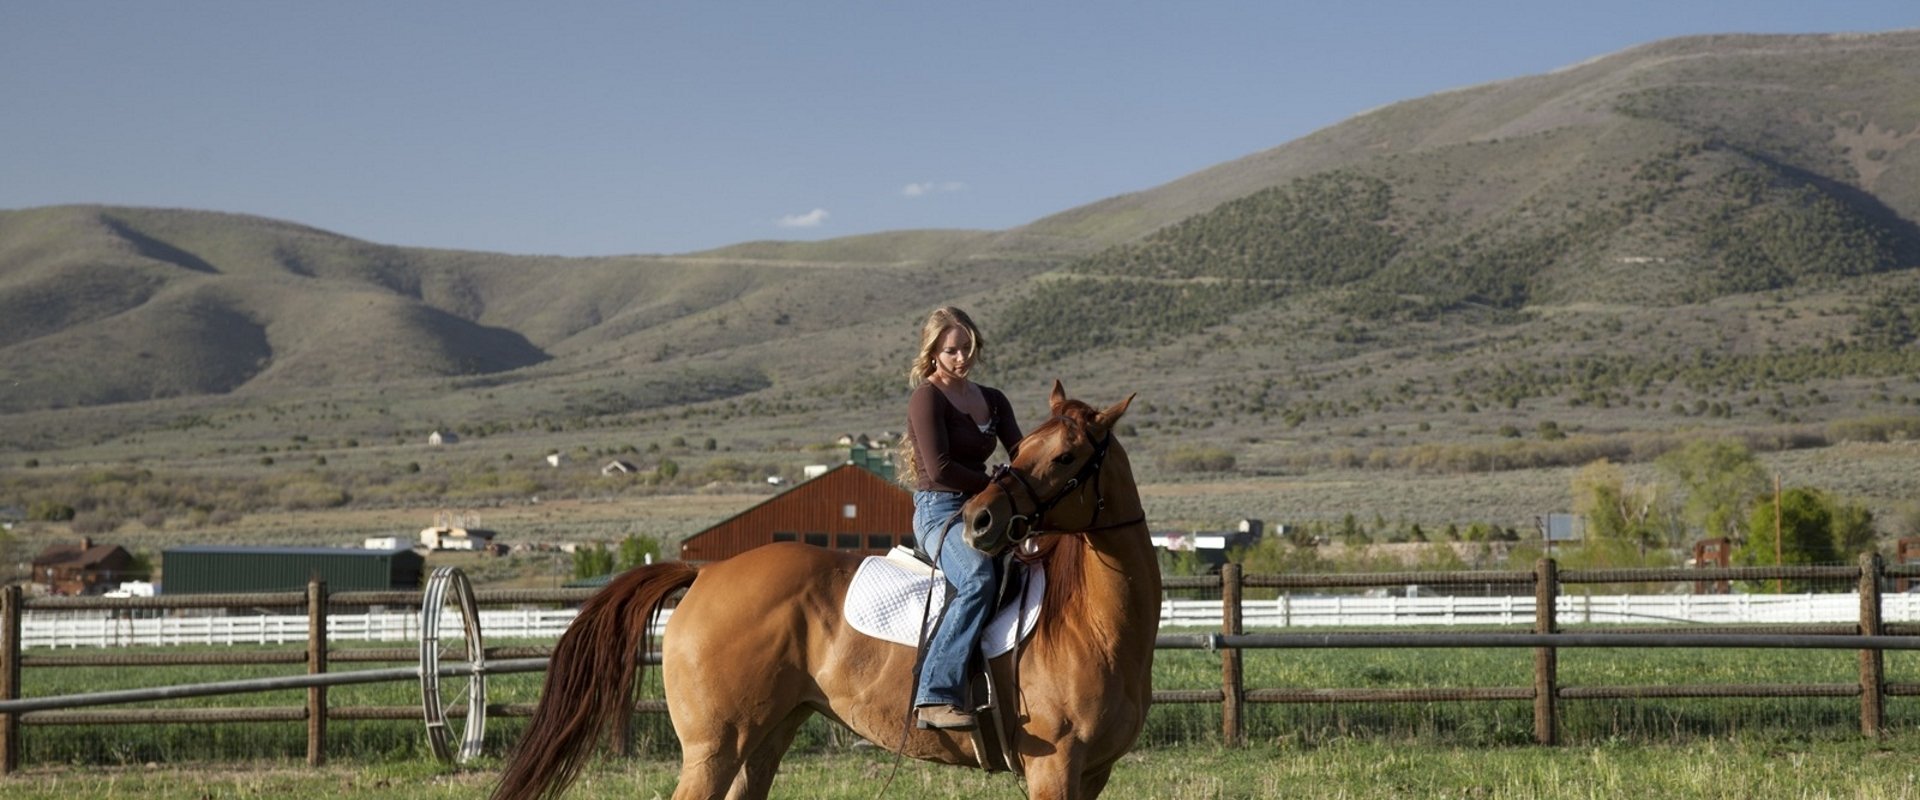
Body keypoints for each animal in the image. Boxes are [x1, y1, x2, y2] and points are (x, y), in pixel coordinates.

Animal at [495, 379, 1152, 798]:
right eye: (1019, 449)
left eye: (1065, 456)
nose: (981, 520)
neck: (1093, 625)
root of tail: (706, 573)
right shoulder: (1054, 770)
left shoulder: (1092, 774)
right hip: (713, 748)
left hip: (763, 740)